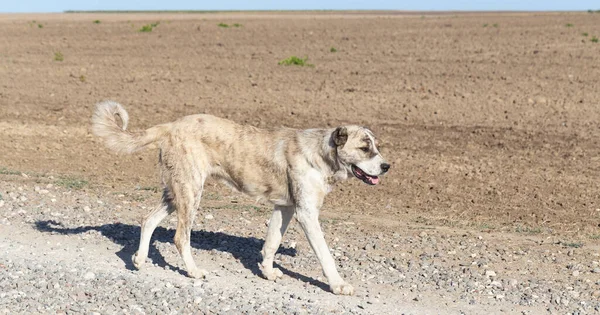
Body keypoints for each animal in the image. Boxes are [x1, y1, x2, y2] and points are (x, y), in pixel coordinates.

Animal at [89, 102, 390, 296]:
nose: (387, 166)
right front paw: (338, 285)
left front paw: (267, 272)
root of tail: (171, 125)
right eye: (365, 148)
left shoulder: (284, 208)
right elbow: (326, 255)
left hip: (176, 192)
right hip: (190, 192)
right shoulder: (306, 214)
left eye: (376, 147)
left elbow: (272, 243)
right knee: (180, 237)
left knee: (148, 220)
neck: (321, 153)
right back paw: (193, 271)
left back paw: (139, 259)